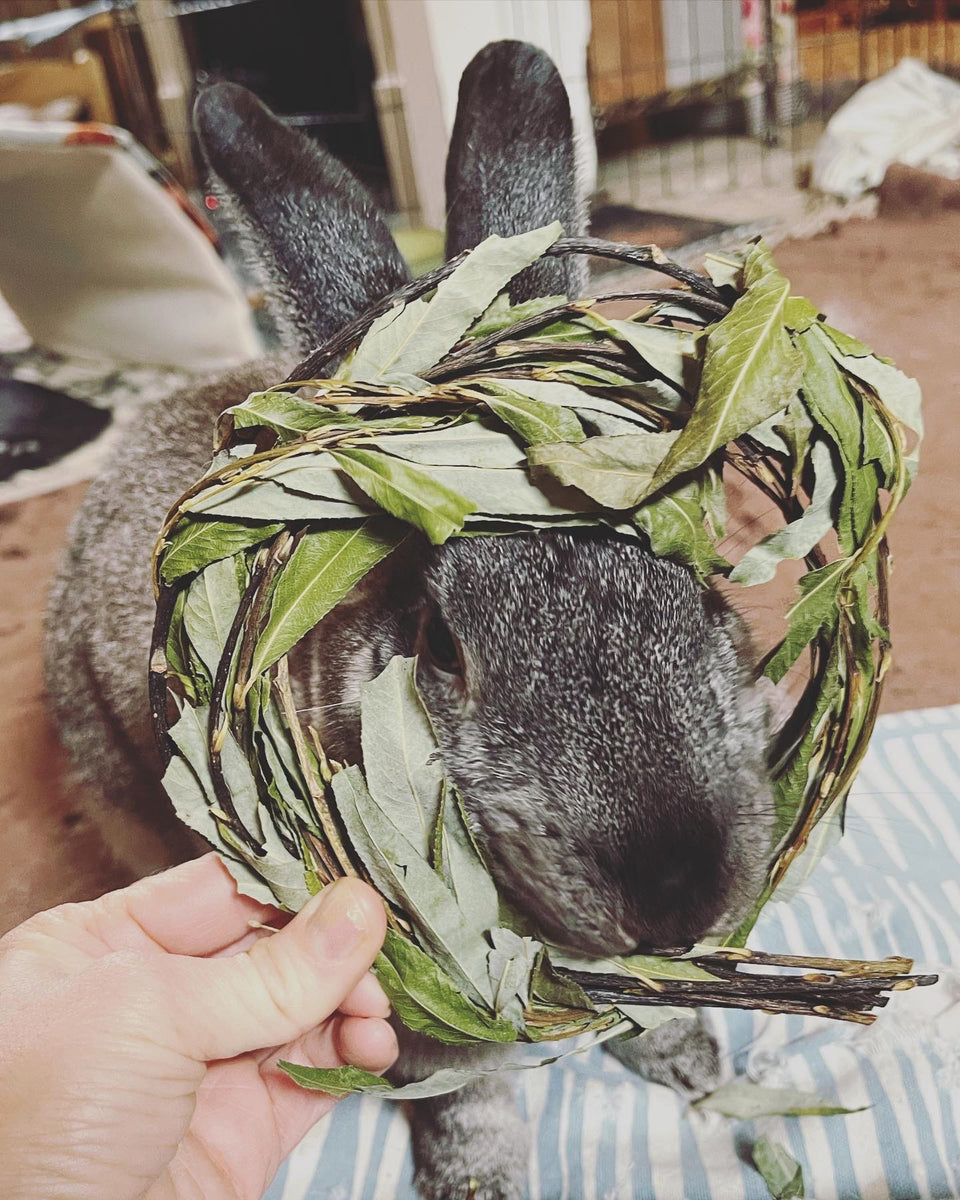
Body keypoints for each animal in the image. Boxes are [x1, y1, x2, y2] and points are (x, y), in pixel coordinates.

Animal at [45, 41, 776, 1200]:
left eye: (708, 590)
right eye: (439, 646)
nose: (678, 897)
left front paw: (694, 1061)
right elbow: (462, 1088)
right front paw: (481, 1179)